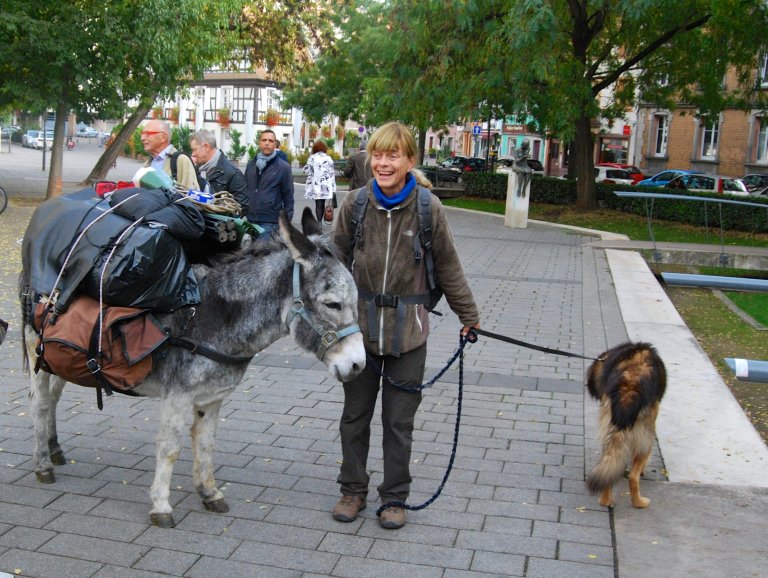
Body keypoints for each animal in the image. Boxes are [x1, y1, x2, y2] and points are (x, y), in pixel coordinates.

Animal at [588, 340, 664, 506]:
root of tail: (629, 387)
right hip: (646, 435)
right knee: (633, 476)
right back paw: (640, 503)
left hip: (610, 430)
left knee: (610, 464)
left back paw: (606, 500)